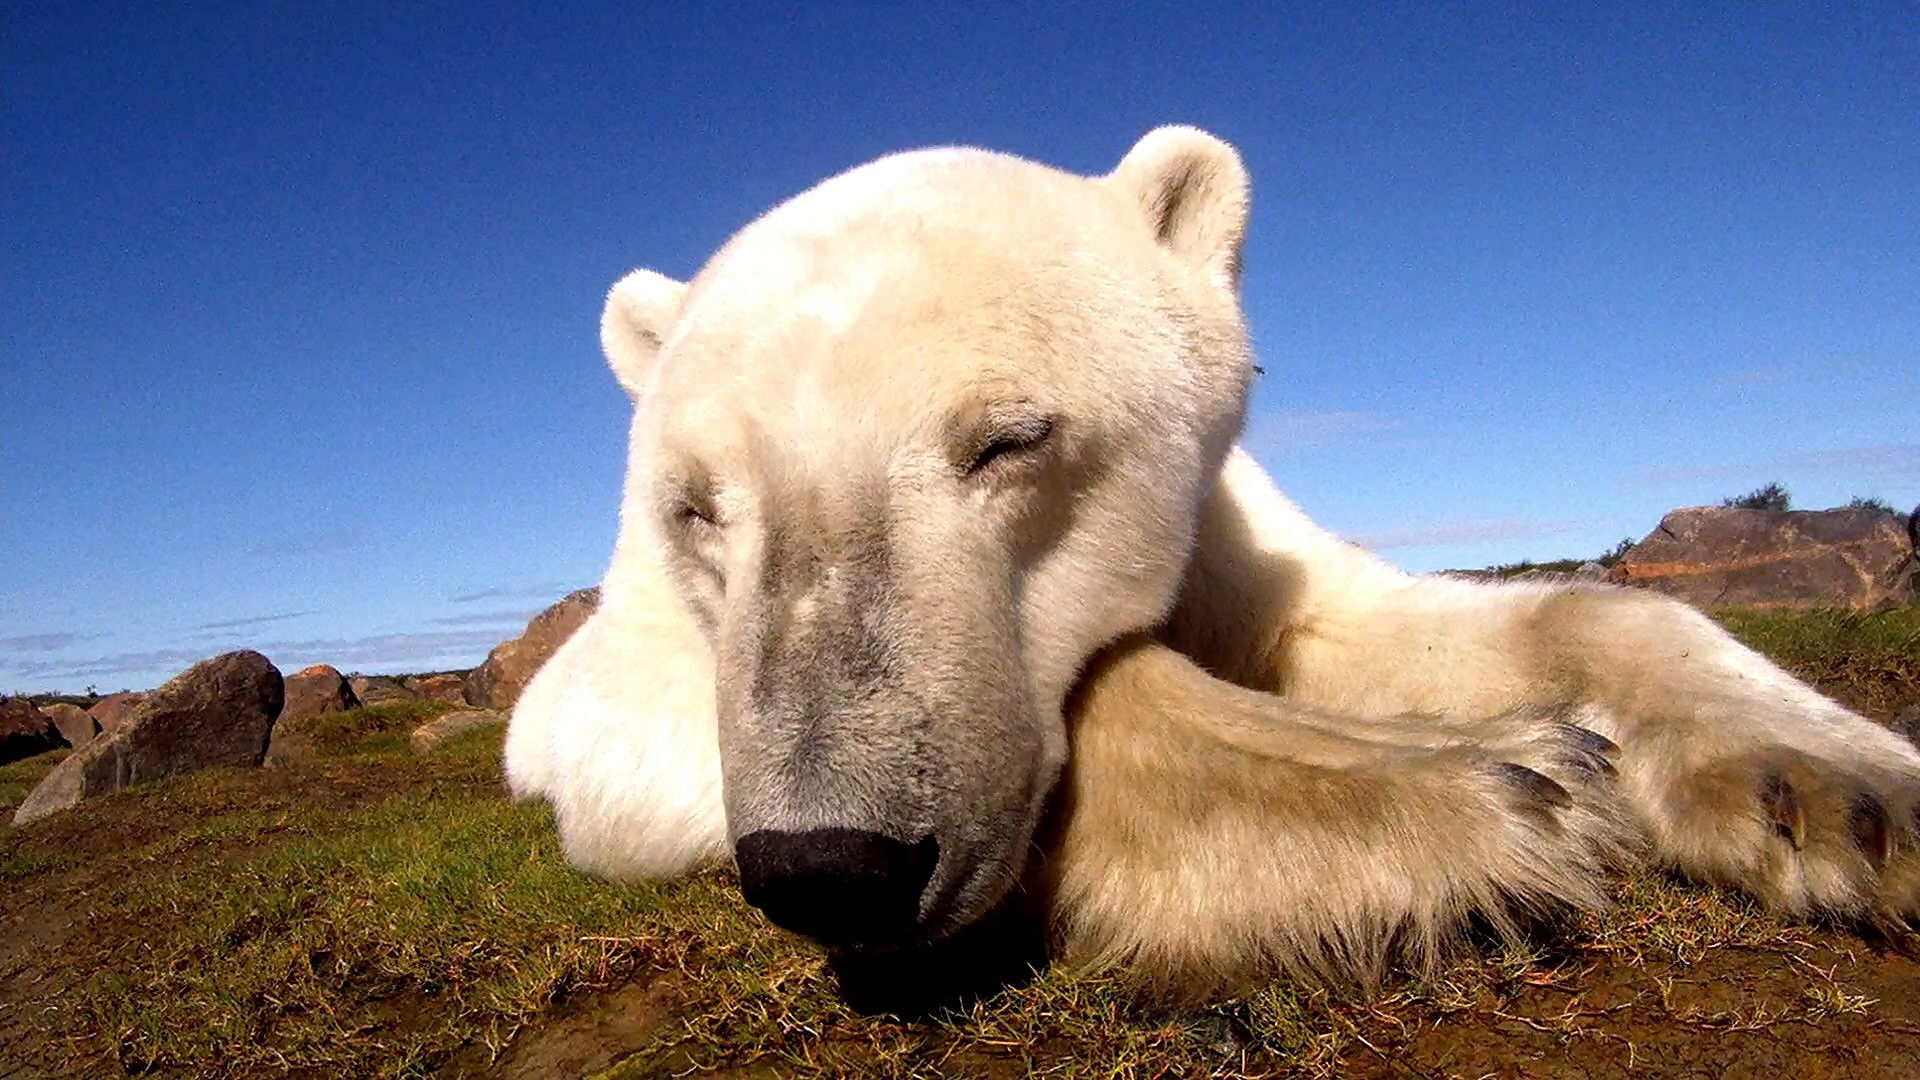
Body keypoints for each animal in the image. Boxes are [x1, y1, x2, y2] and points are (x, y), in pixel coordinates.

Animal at [505, 126, 1920, 996]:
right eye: (695, 510)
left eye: (1010, 439)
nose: (828, 865)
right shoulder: (623, 679)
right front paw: (1496, 786)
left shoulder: (1228, 526)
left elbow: (1384, 624)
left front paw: (1848, 798)